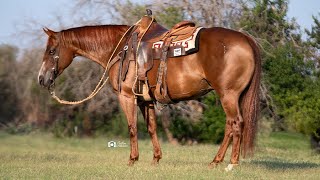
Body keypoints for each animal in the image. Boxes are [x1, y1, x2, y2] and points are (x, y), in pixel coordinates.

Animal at [38, 22, 262, 170]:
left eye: (51, 51)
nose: (42, 79)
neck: (120, 48)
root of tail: (245, 39)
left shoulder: (127, 96)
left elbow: (132, 127)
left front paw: (132, 159)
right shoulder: (146, 100)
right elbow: (152, 127)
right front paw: (156, 158)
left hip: (228, 95)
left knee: (235, 123)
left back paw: (229, 164)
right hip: (234, 96)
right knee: (231, 126)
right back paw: (217, 161)